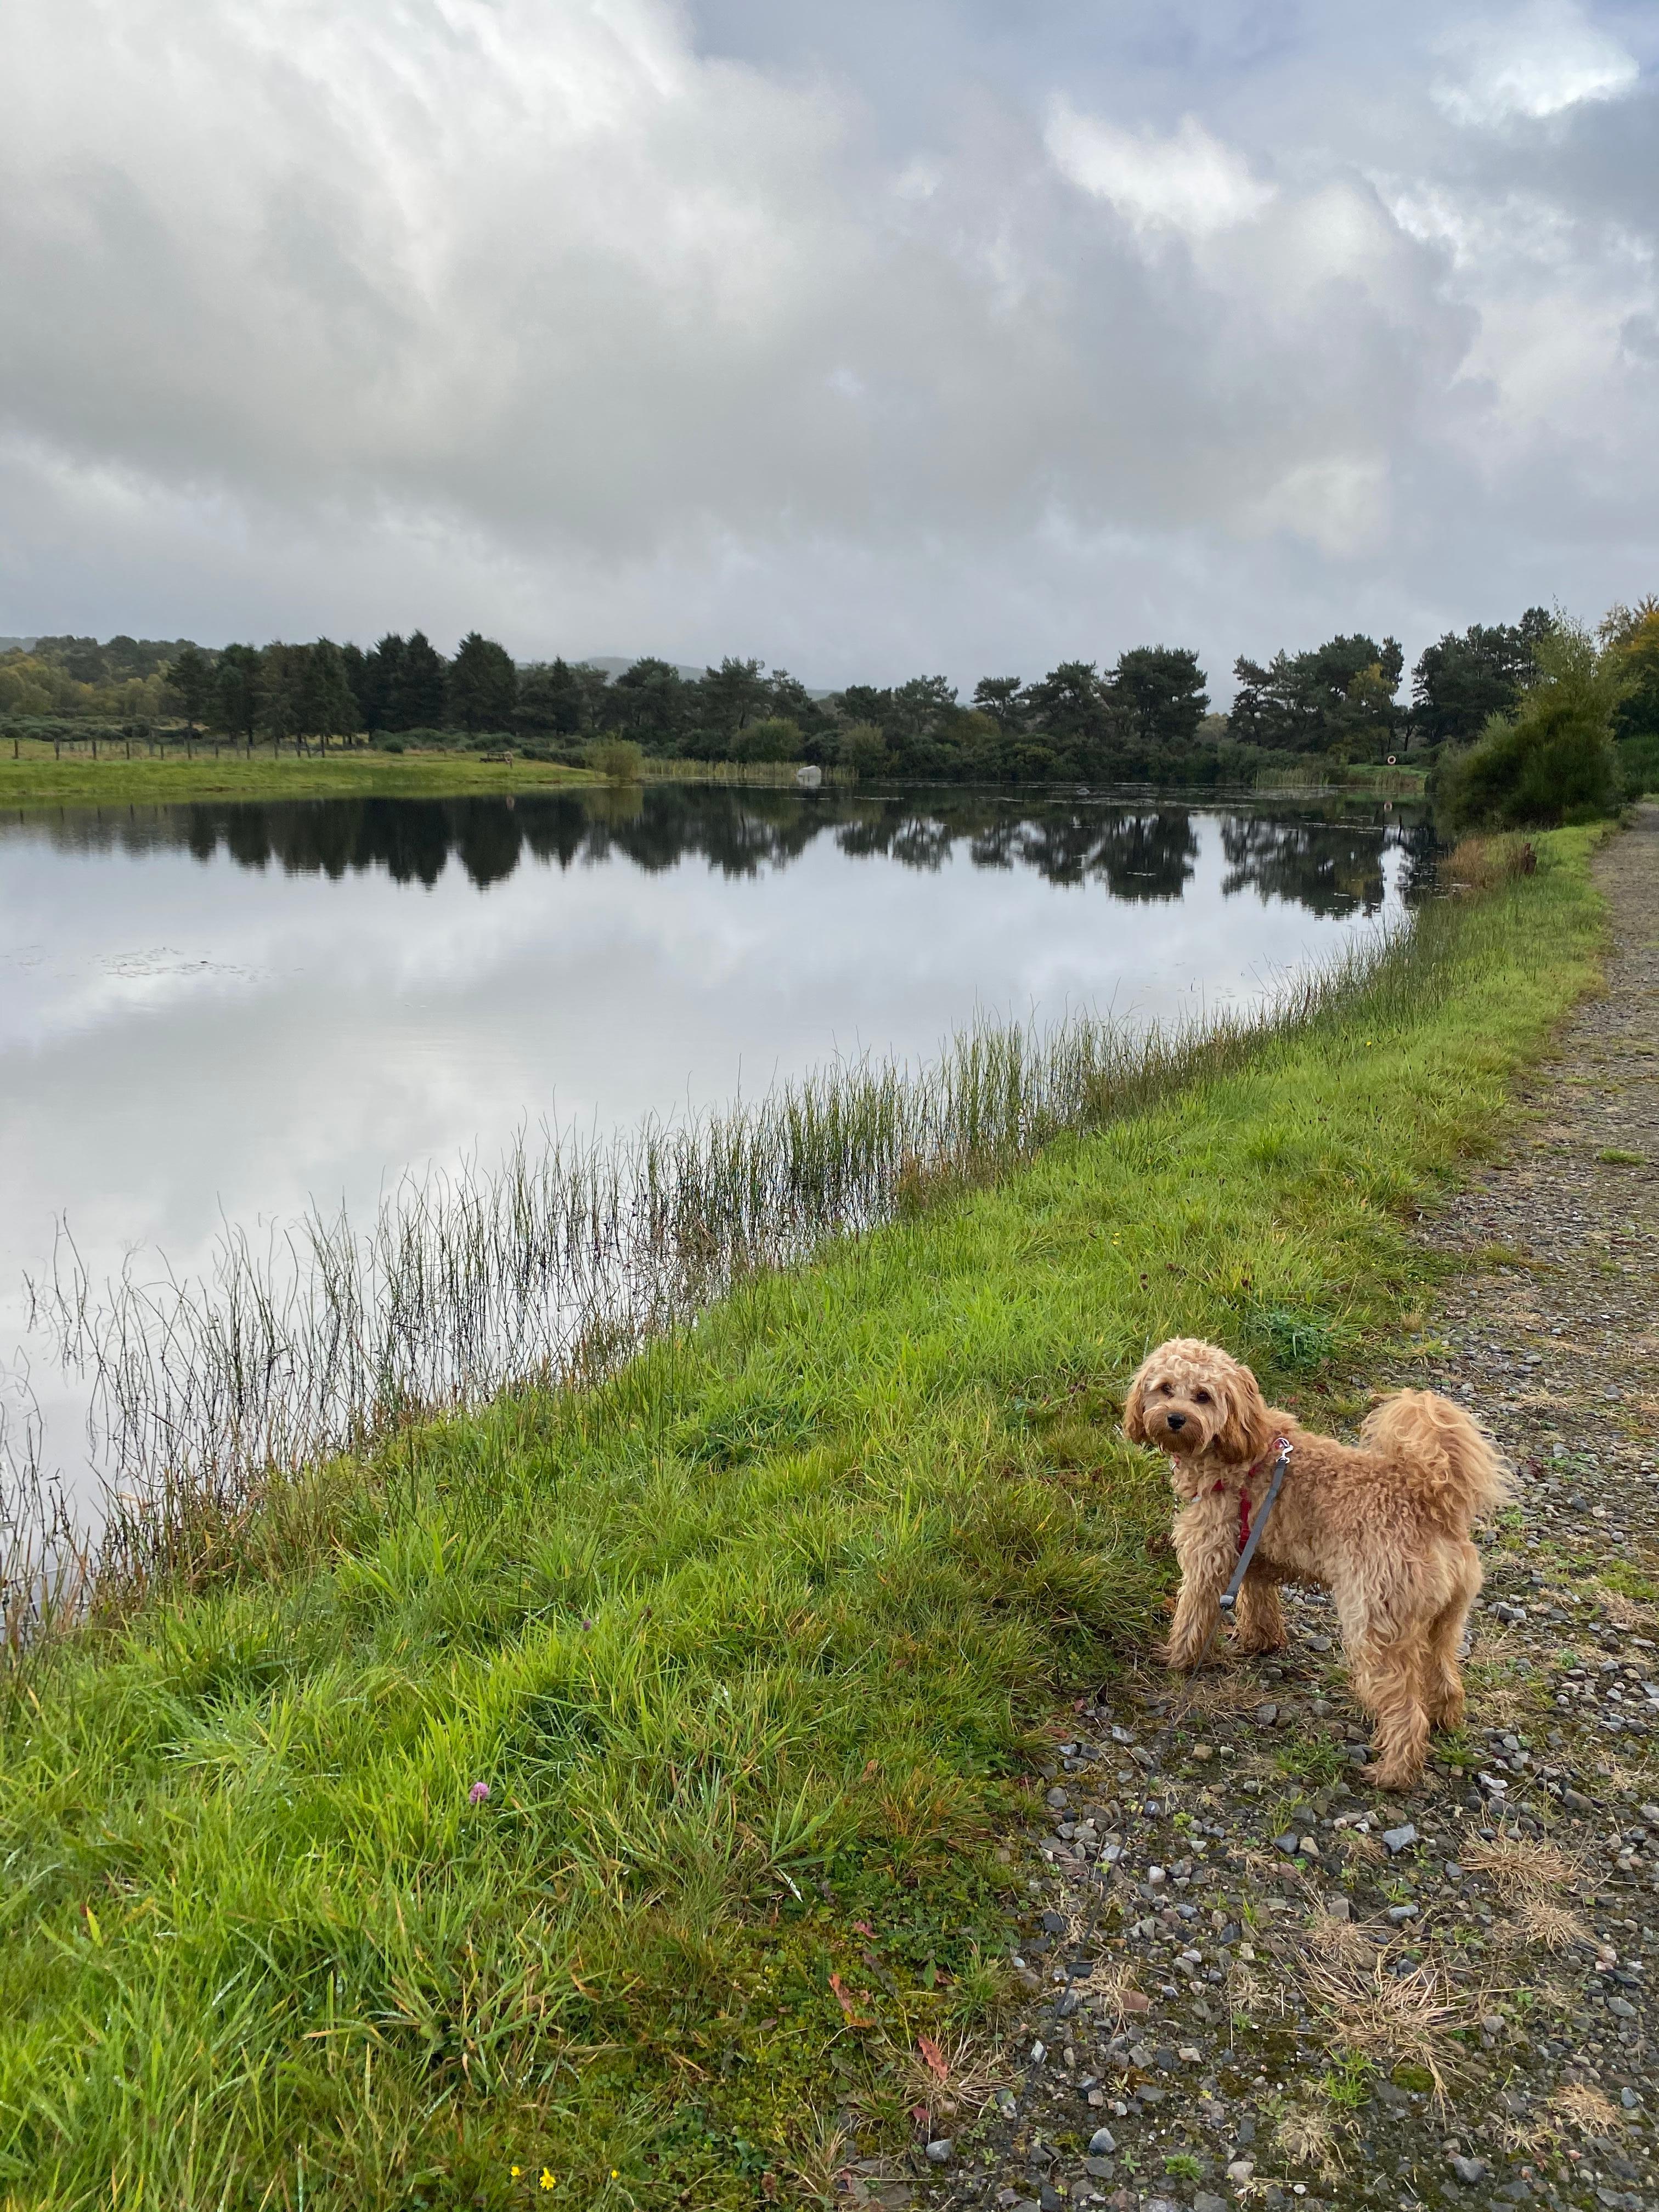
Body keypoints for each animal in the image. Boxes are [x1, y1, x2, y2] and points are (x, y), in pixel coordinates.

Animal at [1124, 1336, 1513, 1787]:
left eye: (1203, 1396)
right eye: (1165, 1388)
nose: (1175, 1418)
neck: (1238, 1450)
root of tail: (1429, 1501)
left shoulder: (1209, 1557)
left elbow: (1192, 1617)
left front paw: (1177, 1660)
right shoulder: (1254, 1555)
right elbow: (1260, 1604)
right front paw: (1260, 1642)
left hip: (1376, 1624)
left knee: (1405, 1711)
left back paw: (1393, 1772)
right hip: (1444, 1624)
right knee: (1445, 1680)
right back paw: (1444, 1721)